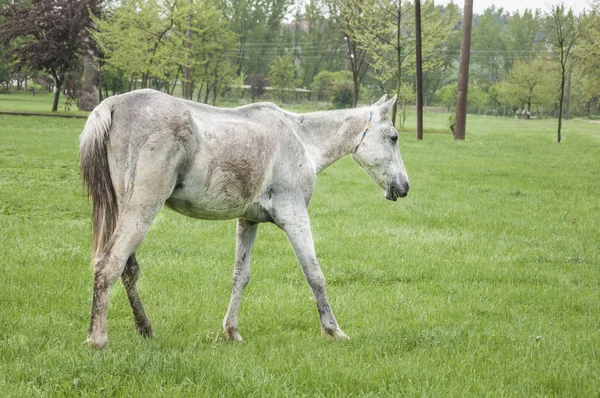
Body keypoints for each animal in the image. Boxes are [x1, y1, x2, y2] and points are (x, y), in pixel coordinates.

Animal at [78, 89, 408, 348]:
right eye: (393, 137)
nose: (404, 187)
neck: (300, 139)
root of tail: (114, 104)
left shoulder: (247, 222)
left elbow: (241, 276)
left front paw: (232, 331)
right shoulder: (295, 216)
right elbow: (314, 274)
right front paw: (333, 330)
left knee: (128, 270)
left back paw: (145, 329)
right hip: (142, 211)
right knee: (110, 263)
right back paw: (98, 339)